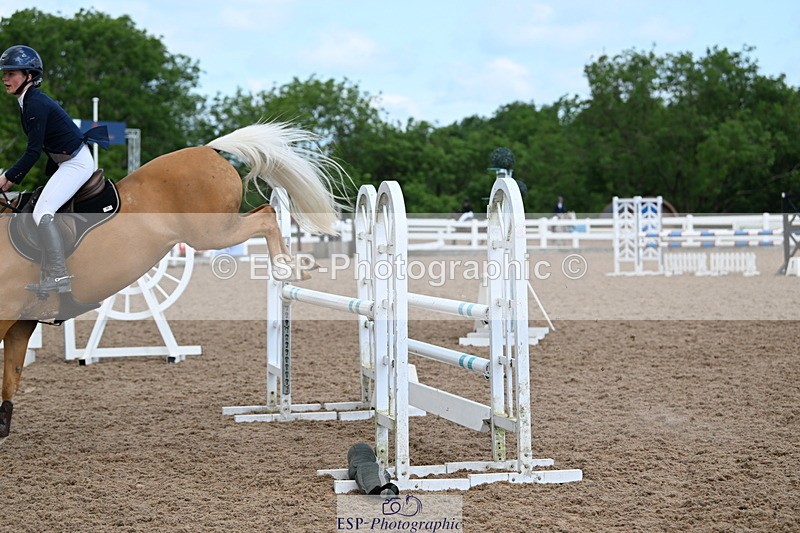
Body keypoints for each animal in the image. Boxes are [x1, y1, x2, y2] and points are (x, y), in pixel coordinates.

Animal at [0, 122, 348, 443]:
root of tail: (208, 149)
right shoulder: (20, 322)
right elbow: (10, 378)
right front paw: (2, 428)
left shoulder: (6, 316)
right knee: (267, 211)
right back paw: (294, 267)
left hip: (213, 232)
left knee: (266, 215)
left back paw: (288, 269)